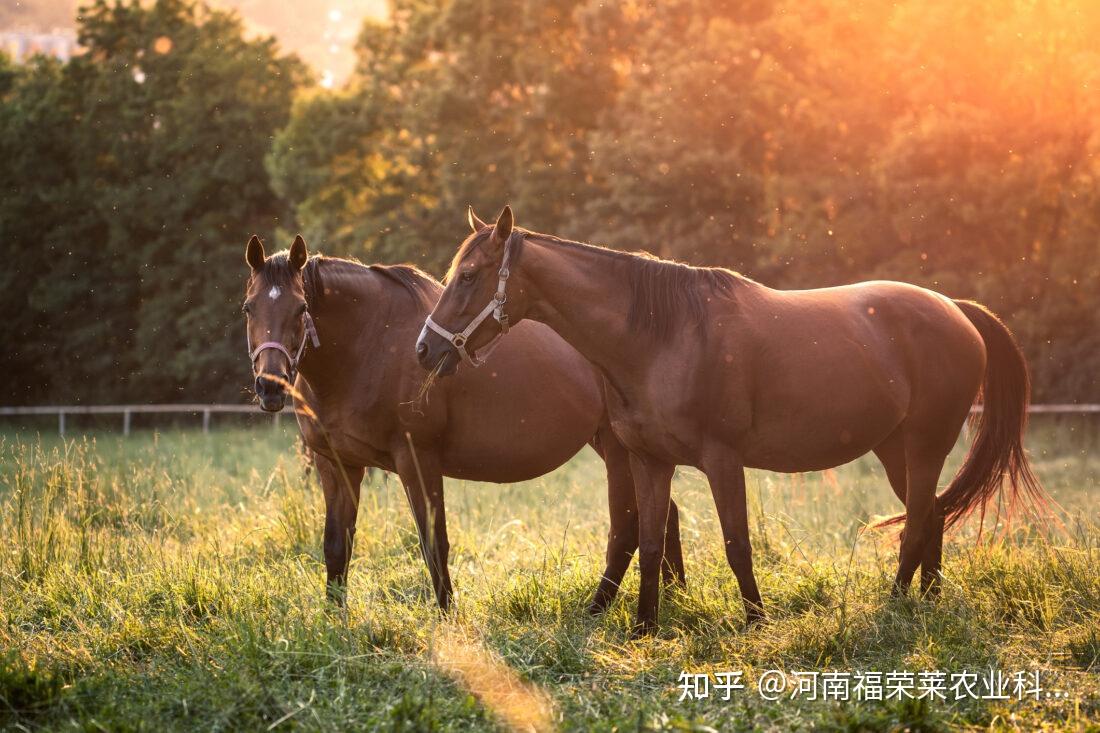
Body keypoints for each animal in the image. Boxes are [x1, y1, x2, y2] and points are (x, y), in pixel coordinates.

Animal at [242, 234, 686, 610]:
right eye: (249, 308)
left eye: (302, 308)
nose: (270, 385)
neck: (369, 344)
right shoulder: (336, 464)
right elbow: (337, 546)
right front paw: (335, 620)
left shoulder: (417, 460)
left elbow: (433, 543)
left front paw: (447, 619)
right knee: (664, 515)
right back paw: (674, 596)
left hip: (618, 449)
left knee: (628, 527)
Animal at [416, 206, 1047, 635]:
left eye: (469, 276)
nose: (426, 349)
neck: (662, 336)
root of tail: (955, 309)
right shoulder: (649, 460)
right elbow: (649, 542)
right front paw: (645, 627)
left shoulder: (722, 460)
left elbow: (735, 542)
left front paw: (756, 622)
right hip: (897, 451)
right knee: (932, 515)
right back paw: (927, 604)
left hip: (923, 446)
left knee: (918, 522)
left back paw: (895, 605)